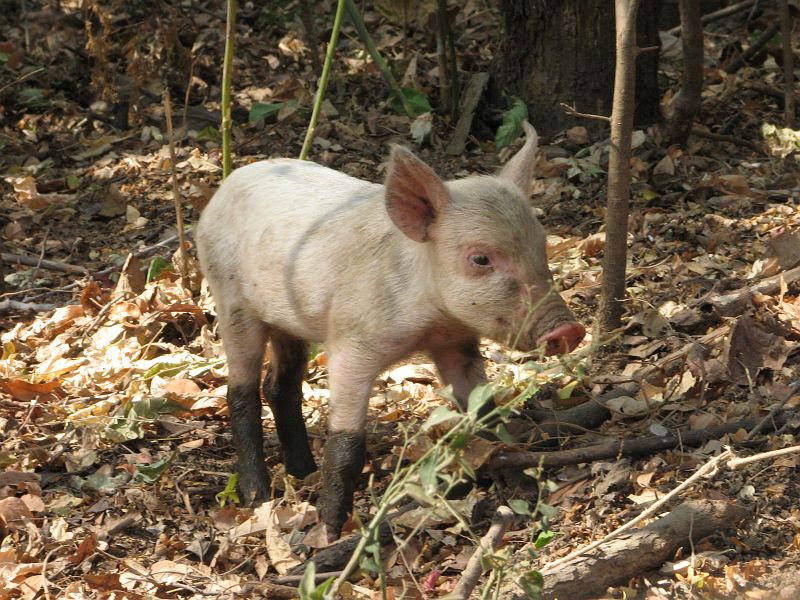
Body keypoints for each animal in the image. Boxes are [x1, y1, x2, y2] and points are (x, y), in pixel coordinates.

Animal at [195, 122, 585, 538]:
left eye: (541, 245)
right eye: (480, 258)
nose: (569, 329)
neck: (432, 321)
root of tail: (226, 186)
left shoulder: (457, 343)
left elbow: (486, 414)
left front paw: (522, 486)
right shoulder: (351, 343)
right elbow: (347, 444)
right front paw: (329, 532)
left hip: (287, 320)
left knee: (280, 386)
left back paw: (303, 472)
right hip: (231, 300)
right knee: (241, 392)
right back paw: (258, 496)